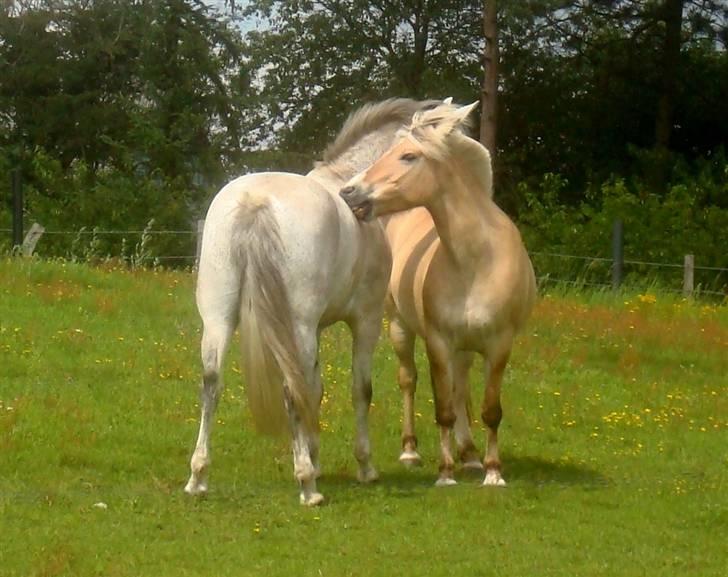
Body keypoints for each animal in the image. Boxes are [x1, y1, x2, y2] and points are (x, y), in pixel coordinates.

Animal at [185, 98, 436, 504]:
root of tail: (256, 201)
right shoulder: (365, 322)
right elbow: (359, 390)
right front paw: (362, 466)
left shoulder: (316, 330)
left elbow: (314, 390)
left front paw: (315, 456)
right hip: (296, 325)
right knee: (290, 388)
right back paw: (307, 486)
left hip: (219, 320)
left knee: (212, 384)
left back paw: (198, 477)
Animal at [340, 100, 536, 486]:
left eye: (408, 156)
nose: (350, 191)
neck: (477, 261)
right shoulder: (438, 342)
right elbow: (443, 408)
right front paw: (445, 473)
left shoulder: (499, 345)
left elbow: (489, 409)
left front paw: (492, 472)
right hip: (400, 328)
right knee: (409, 381)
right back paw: (411, 451)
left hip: (465, 350)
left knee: (461, 388)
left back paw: (470, 455)